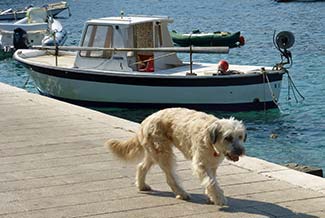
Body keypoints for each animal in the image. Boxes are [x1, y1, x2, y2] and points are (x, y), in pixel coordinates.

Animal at [105, 108, 244, 205]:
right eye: (228, 138)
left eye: (240, 137)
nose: (240, 151)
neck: (211, 141)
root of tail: (146, 120)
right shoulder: (200, 164)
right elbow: (211, 182)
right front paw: (219, 198)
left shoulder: (212, 165)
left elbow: (211, 180)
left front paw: (212, 196)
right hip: (163, 152)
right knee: (170, 177)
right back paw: (181, 193)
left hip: (154, 152)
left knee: (141, 166)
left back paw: (141, 185)